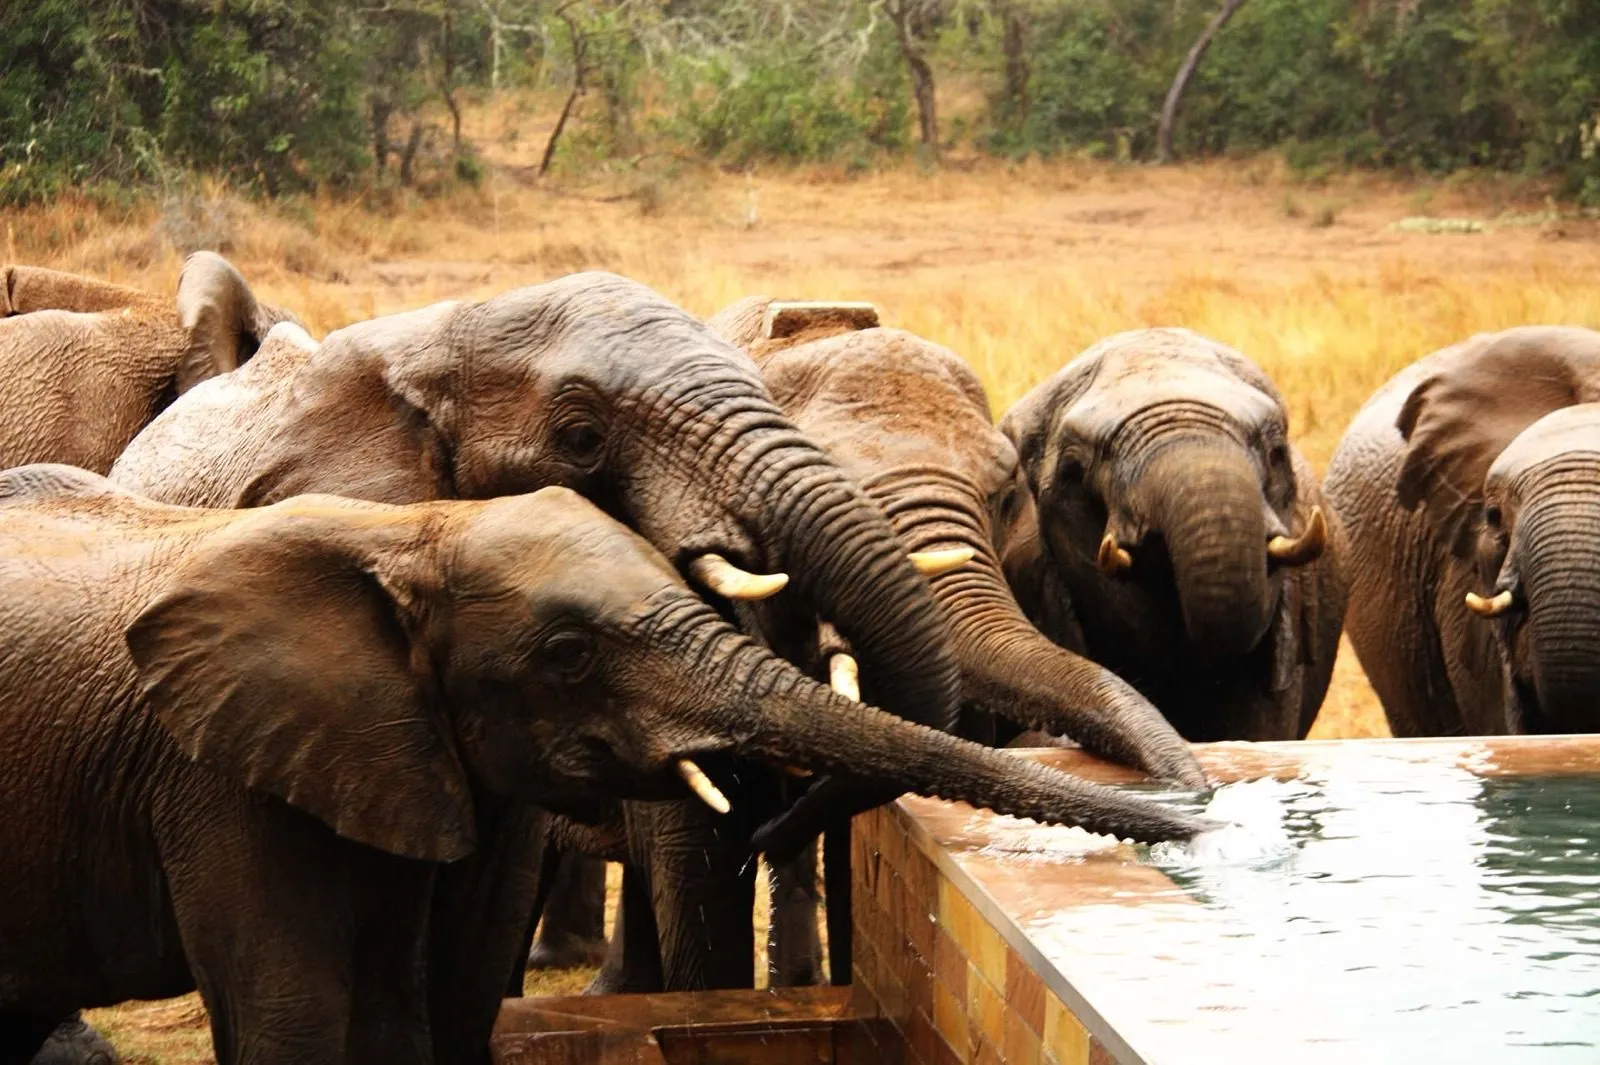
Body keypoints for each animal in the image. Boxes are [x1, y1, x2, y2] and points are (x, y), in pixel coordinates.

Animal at [0, 466, 1203, 1065]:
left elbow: (421, 1007)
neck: (413, 530)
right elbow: (294, 1018)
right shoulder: (216, 776)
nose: (1199, 805)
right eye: (571, 655)